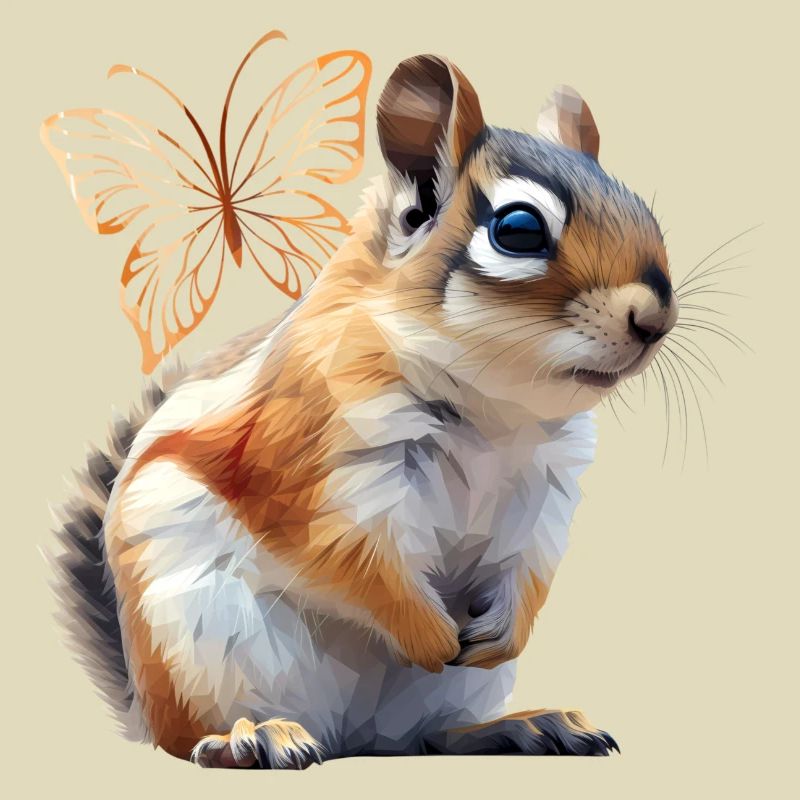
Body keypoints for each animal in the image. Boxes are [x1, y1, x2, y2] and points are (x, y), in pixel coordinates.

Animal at [52, 54, 678, 768]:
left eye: (643, 210)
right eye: (518, 229)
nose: (655, 318)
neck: (497, 412)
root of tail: (352, 738)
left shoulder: (546, 490)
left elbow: (532, 567)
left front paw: (504, 632)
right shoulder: (316, 459)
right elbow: (354, 561)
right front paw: (430, 634)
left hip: (445, 699)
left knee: (429, 738)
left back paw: (523, 726)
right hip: (202, 645)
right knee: (193, 739)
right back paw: (251, 737)